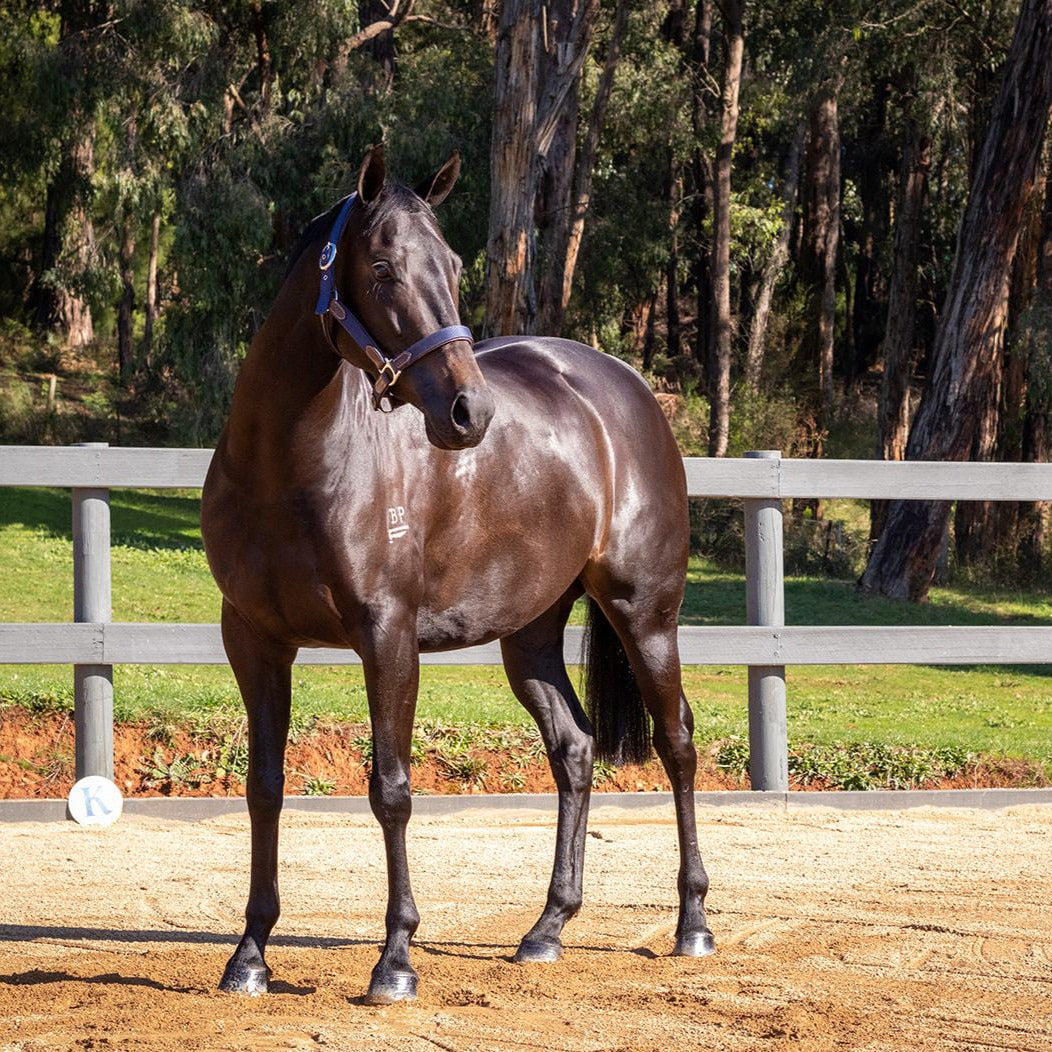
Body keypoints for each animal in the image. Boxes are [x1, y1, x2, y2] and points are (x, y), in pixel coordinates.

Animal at [198, 144, 715, 1005]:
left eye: (453, 265)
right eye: (382, 267)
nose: (471, 413)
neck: (288, 466)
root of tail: (627, 390)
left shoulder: (387, 637)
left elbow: (392, 789)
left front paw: (395, 961)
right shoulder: (255, 640)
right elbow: (263, 787)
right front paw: (250, 955)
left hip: (646, 615)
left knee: (677, 742)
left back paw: (693, 923)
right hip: (529, 636)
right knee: (574, 749)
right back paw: (547, 929)